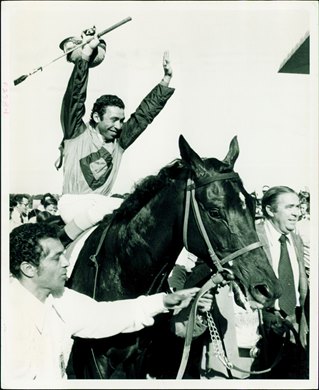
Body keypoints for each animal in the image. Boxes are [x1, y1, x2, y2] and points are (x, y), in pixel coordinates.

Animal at [65, 136, 282, 380]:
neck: (123, 272)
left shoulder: (138, 358)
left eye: (253, 206)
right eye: (215, 212)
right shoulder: (94, 361)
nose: (268, 288)